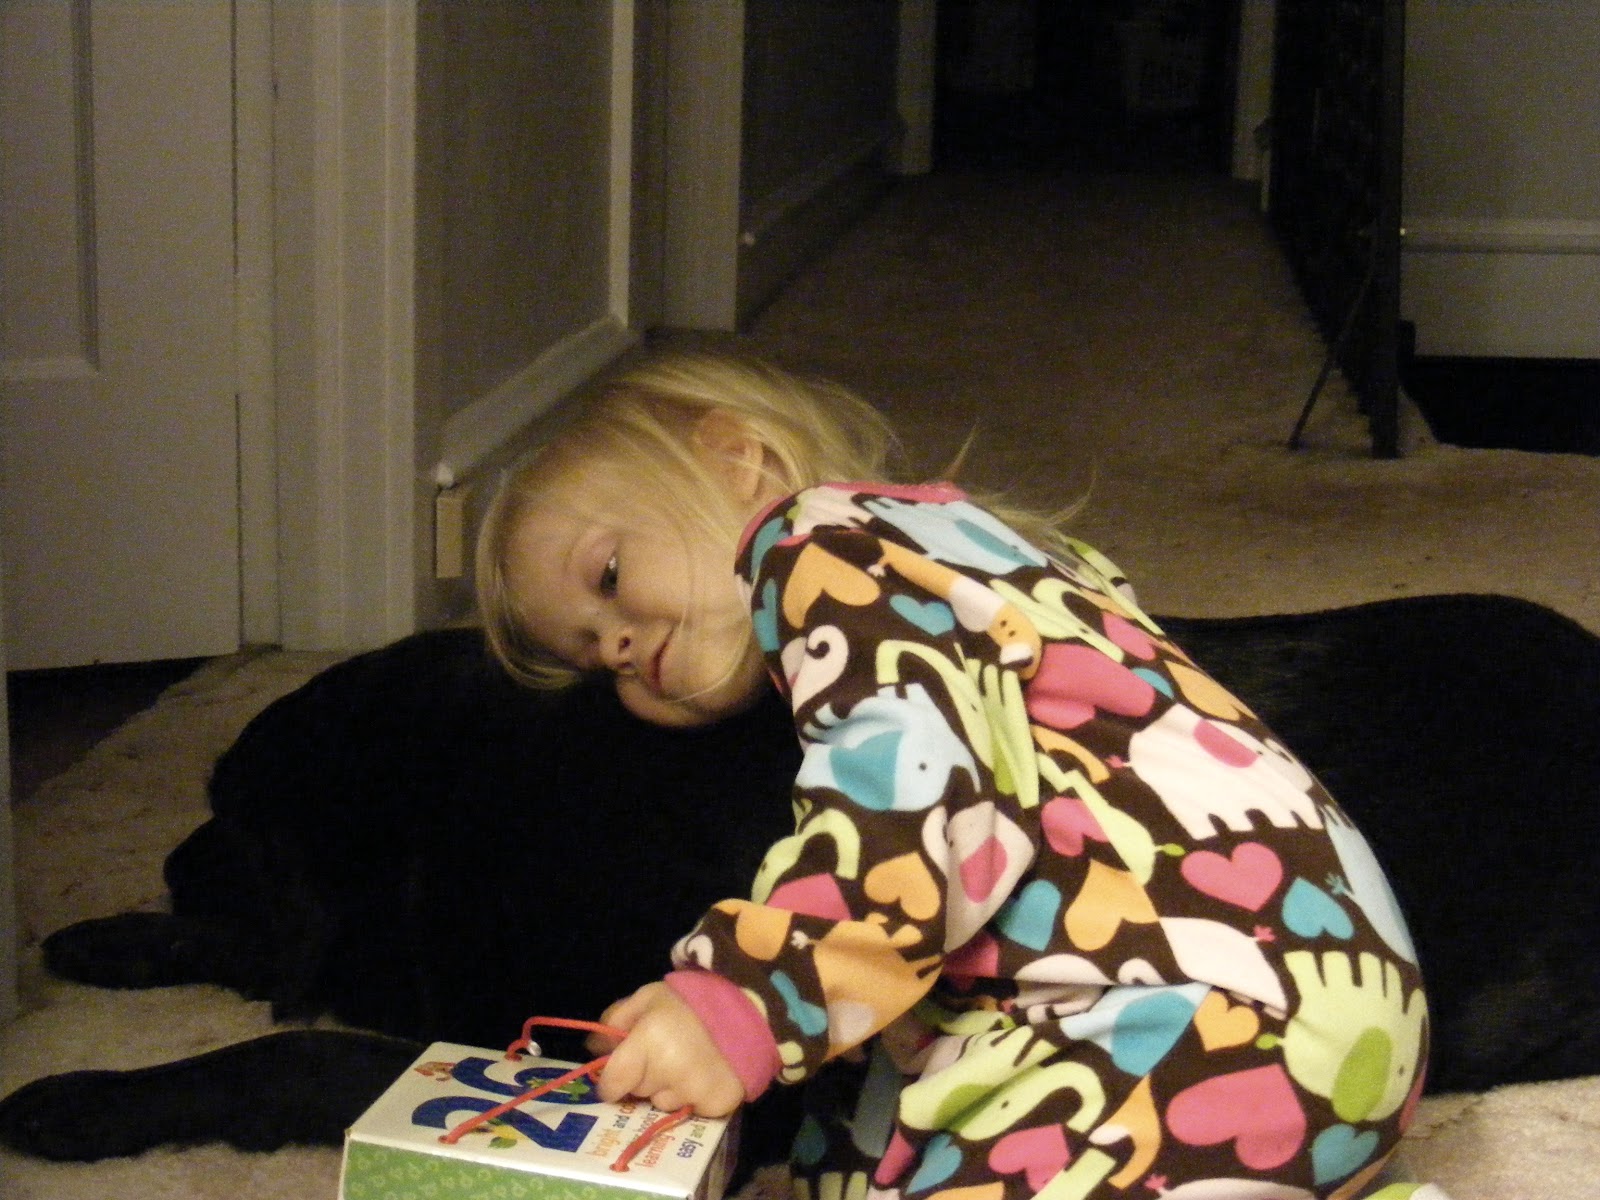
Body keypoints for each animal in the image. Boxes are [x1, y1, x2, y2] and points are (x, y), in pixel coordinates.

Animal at [3, 593, 1598, 1176]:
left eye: (232, 824)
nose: (170, 854)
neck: (477, 804)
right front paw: (100, 934)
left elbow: (284, 1054)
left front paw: (80, 1099)